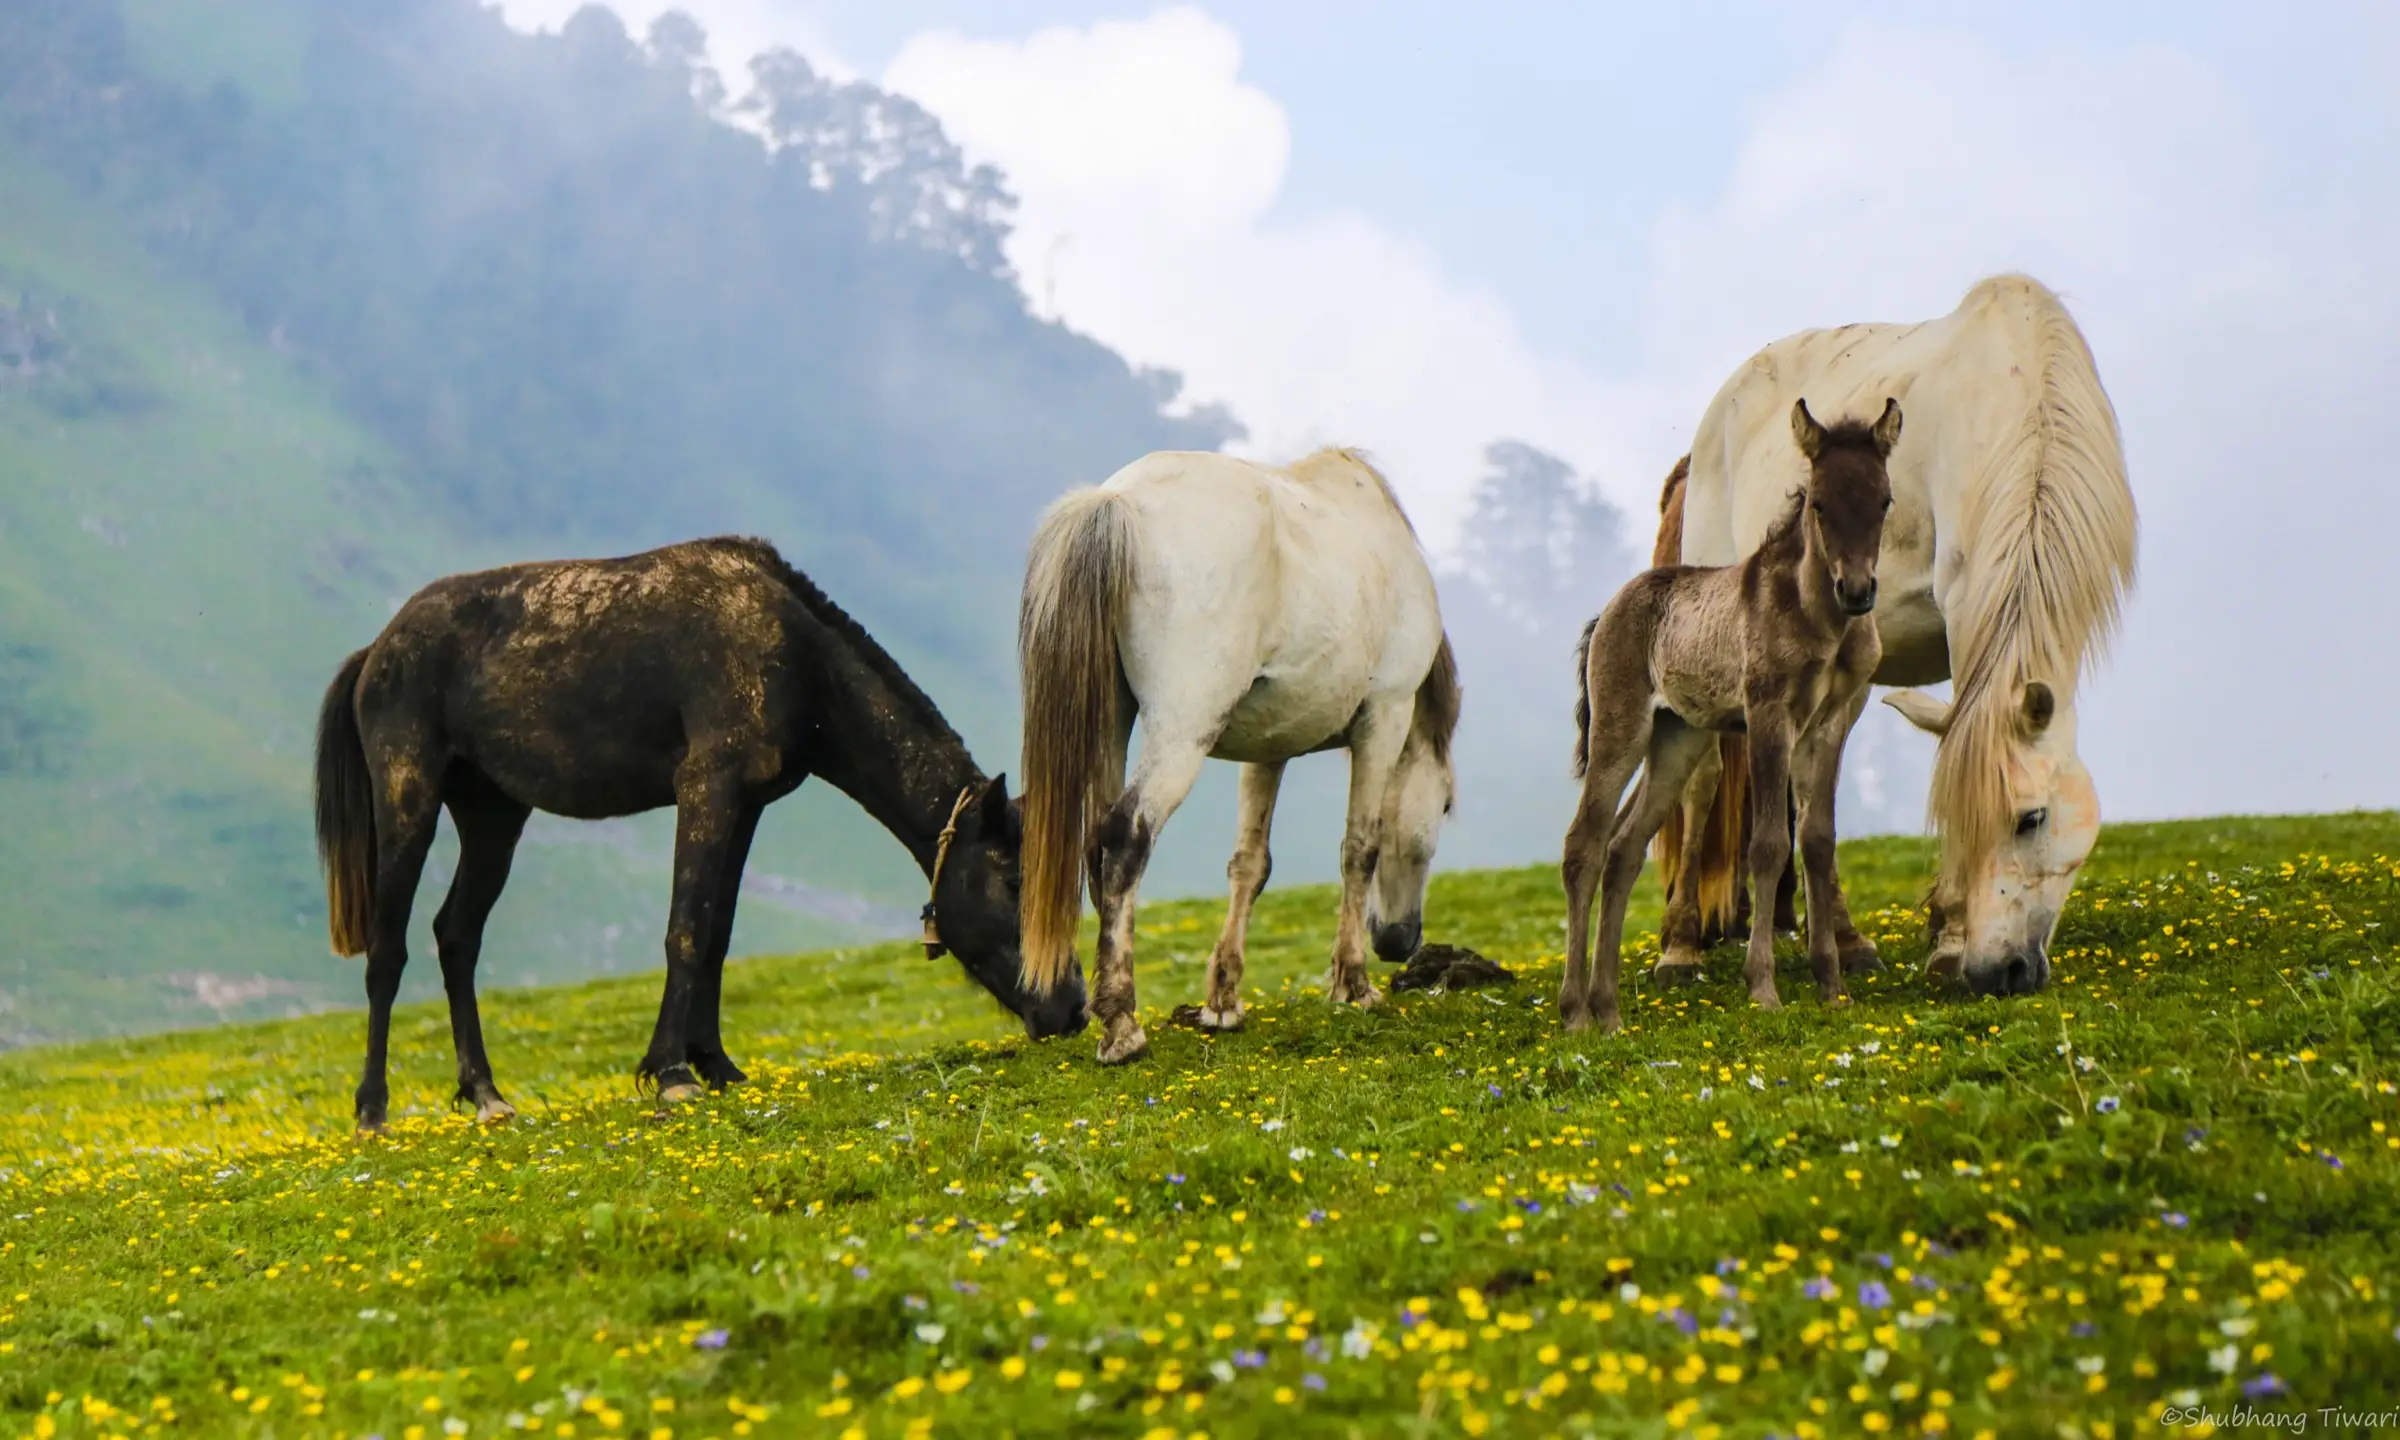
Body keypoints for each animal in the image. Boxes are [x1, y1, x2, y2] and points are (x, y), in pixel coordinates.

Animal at [313, 535, 1085, 1131]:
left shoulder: (746, 806)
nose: (1073, 1007)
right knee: (389, 951)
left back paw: (486, 1094)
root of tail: (377, 650)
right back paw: (372, 1110)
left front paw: (718, 1065)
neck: (795, 656)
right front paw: (672, 1072)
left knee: (456, 936)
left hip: (492, 815)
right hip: (410, 800)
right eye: (1013, 878)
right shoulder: (706, 787)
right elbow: (685, 929)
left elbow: (716, 935)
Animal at [1012, 447, 1461, 1066]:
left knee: (1097, 849)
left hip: (1110, 726)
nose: (1401, 941)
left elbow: (1250, 866)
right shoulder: (1384, 720)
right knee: (1126, 840)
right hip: (1181, 735)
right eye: (1444, 807)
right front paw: (1353, 985)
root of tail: (1116, 502)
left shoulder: (1269, 750)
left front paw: (1222, 1002)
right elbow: (1359, 850)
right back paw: (1122, 1027)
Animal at [1561, 400, 1898, 1033]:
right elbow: (1766, 845)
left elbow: (1818, 840)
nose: (1857, 590)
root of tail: (1608, 611)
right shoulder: (1769, 717)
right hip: (1621, 731)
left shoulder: (1828, 725)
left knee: (1623, 850)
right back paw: (1575, 1012)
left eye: (1885, 500)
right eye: (1819, 503)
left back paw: (1609, 1010)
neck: (1819, 617)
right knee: (1584, 846)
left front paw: (1832, 985)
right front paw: (1763, 987)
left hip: (1678, 740)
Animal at [1664, 274, 2137, 995]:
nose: (1999, 972)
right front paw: (1950, 939)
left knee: (1807, 787)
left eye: (2032, 817)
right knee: (1704, 782)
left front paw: (1942, 930)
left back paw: (1838, 939)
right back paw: (1680, 947)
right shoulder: (1967, 601)